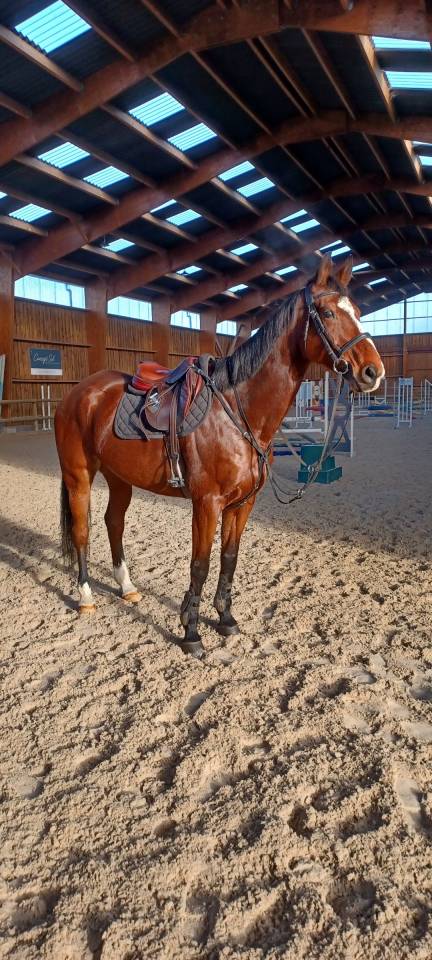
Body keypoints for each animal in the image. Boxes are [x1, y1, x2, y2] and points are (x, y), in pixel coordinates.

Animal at [55, 256, 384, 657]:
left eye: (359, 312)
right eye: (327, 312)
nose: (373, 371)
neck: (238, 414)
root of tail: (79, 393)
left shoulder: (241, 504)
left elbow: (229, 558)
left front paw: (225, 619)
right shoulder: (207, 503)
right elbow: (200, 564)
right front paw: (191, 633)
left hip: (120, 479)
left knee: (113, 522)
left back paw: (127, 587)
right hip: (79, 476)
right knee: (82, 530)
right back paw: (86, 596)